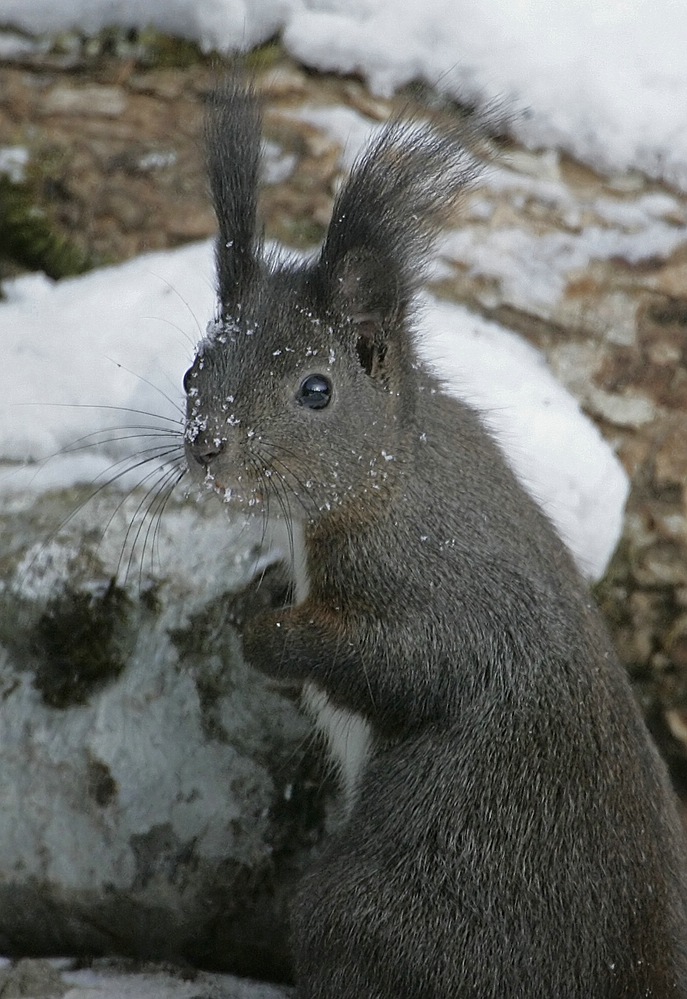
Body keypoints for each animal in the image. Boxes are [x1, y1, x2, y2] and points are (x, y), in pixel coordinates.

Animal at [181, 80, 687, 999]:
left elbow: (404, 658)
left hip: (376, 909)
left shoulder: (437, 586)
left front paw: (267, 635)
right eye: (196, 366)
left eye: (317, 389)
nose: (206, 446)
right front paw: (258, 590)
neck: (381, 487)